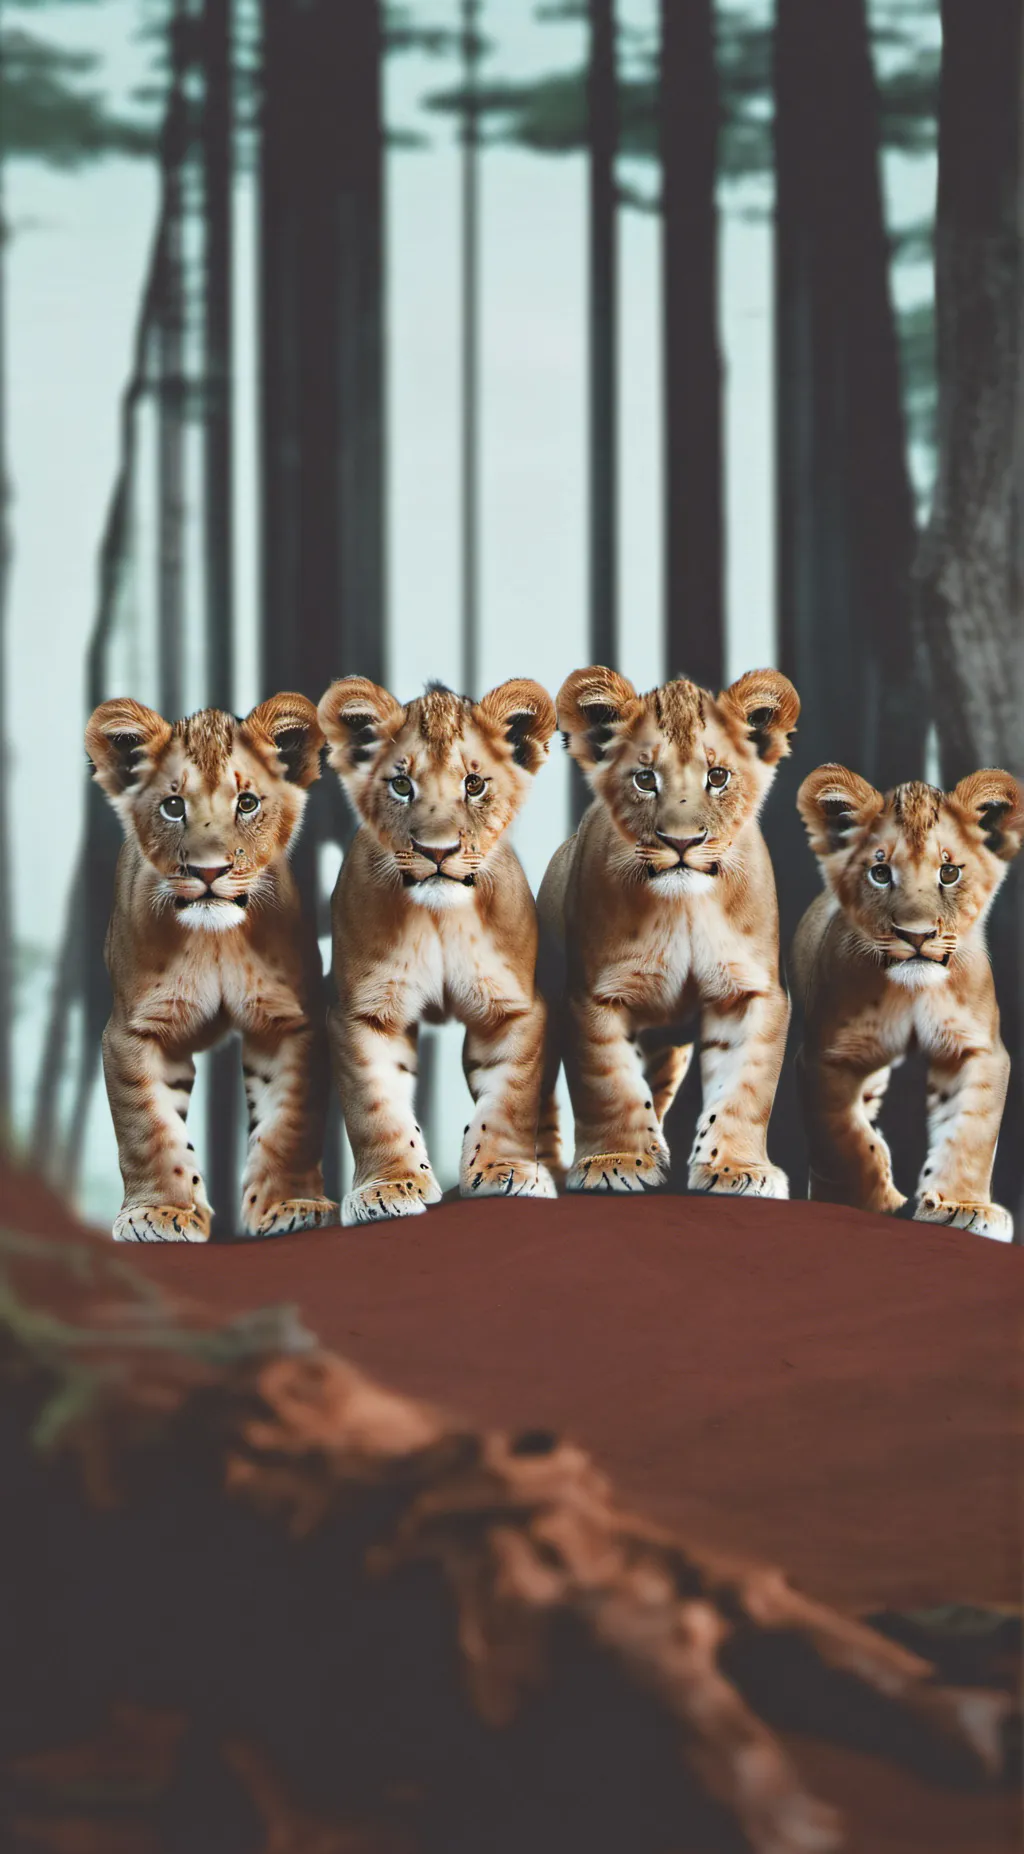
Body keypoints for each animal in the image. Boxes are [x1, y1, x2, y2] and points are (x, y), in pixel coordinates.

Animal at [85, 695, 337, 1242]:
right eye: (173, 806)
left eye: (246, 803)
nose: (208, 871)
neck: (216, 940)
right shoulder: (133, 1030)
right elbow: (149, 1128)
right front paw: (157, 1212)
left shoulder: (289, 1021)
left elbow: (290, 1121)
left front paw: (289, 1203)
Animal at [317, 676, 559, 1226]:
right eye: (402, 785)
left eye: (474, 784)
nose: (437, 851)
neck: (440, 918)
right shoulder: (362, 1013)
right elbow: (375, 1107)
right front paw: (387, 1187)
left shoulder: (517, 1009)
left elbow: (511, 1099)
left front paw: (503, 1170)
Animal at [537, 666, 801, 1195]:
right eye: (645, 779)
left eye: (717, 777)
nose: (682, 842)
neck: (685, 909)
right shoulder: (594, 996)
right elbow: (608, 1083)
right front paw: (614, 1161)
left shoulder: (751, 992)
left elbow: (745, 1087)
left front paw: (736, 1168)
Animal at [791, 763, 1024, 1239]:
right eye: (880, 873)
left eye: (948, 872)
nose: (916, 936)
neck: (914, 992)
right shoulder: (825, 1057)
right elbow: (844, 1136)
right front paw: (873, 1198)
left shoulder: (979, 1050)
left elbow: (972, 1132)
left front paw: (961, 1204)